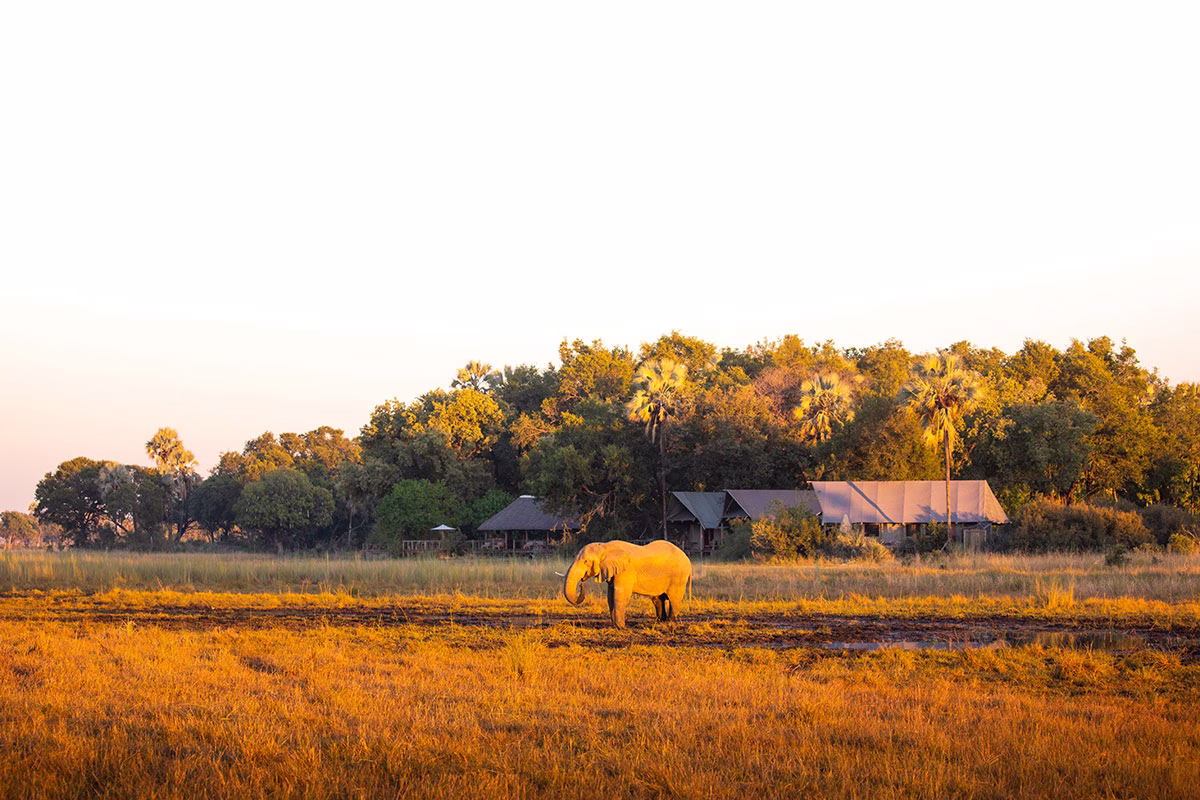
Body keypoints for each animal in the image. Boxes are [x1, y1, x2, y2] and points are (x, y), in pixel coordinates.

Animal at [562, 540, 692, 629]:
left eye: (586, 561)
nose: (581, 584)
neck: (605, 546)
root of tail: (688, 560)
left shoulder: (625, 572)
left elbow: (619, 595)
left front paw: (620, 627)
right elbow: (610, 596)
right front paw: (615, 626)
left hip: (678, 577)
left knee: (674, 599)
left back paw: (670, 623)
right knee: (657, 599)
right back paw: (660, 622)